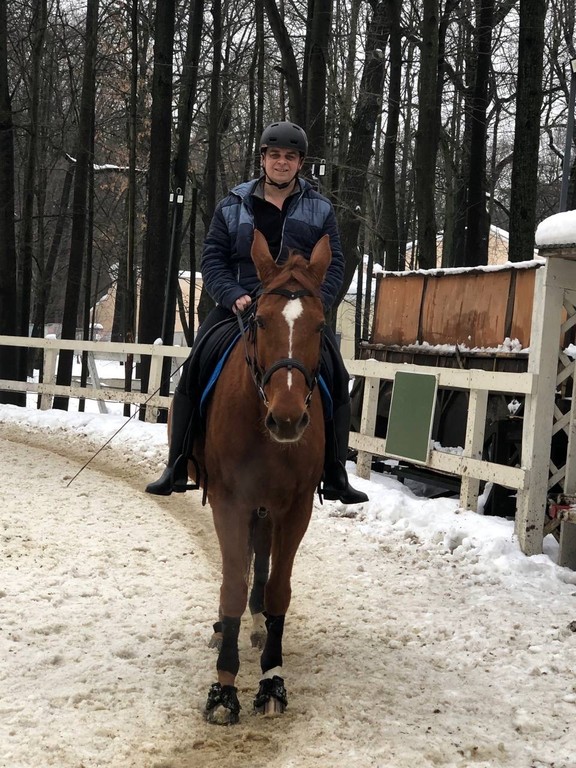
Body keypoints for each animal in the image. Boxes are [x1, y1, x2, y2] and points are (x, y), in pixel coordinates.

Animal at [190, 229, 331, 724]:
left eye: (320, 326)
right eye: (261, 322)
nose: (287, 419)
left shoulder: (295, 509)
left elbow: (277, 591)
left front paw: (272, 679)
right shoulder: (230, 501)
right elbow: (232, 583)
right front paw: (224, 687)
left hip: (268, 510)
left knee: (262, 563)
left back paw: (255, 628)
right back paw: (224, 629)